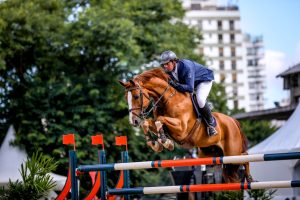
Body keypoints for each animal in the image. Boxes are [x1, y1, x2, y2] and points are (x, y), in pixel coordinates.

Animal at [118, 67, 252, 183]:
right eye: (125, 98)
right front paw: (154, 143)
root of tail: (233, 121)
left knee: (245, 156)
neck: (168, 100)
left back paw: (249, 178)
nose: (133, 121)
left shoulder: (181, 128)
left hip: (232, 152)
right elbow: (147, 123)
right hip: (211, 154)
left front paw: (165, 141)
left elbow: (160, 120)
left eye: (136, 96)